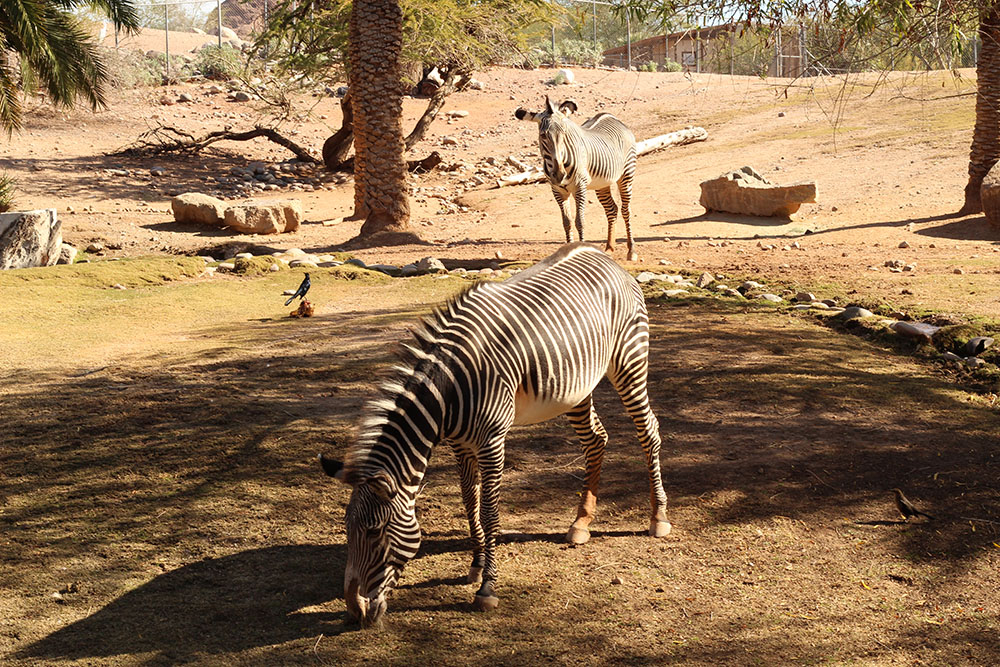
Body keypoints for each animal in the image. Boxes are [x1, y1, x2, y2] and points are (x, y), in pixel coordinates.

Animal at [320, 244, 672, 628]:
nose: (354, 610)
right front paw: (475, 565)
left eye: (373, 531)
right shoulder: (461, 445)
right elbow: (469, 502)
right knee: (595, 440)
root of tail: (603, 256)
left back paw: (658, 517)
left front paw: (487, 586)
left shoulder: (491, 442)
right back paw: (581, 522)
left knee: (649, 432)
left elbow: (489, 510)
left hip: (629, 362)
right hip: (577, 386)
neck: (450, 391)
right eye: (346, 529)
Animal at [516, 98, 640, 262]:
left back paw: (631, 250)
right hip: (602, 184)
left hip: (626, 175)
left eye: (564, 133)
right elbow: (567, 222)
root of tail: (613, 117)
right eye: (543, 135)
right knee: (612, 209)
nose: (559, 174)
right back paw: (609, 248)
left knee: (626, 210)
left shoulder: (579, 187)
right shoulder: (557, 190)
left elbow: (579, 222)